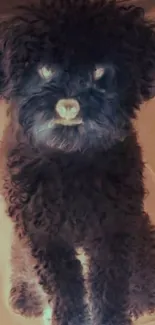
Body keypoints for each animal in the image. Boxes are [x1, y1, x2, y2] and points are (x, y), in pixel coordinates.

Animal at [0, 0, 155, 324]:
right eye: (46, 69)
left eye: (99, 71)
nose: (68, 105)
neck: (71, 154)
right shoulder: (46, 235)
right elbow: (65, 287)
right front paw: (69, 317)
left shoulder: (112, 228)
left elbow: (109, 286)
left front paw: (111, 317)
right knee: (20, 259)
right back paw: (26, 295)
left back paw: (141, 299)